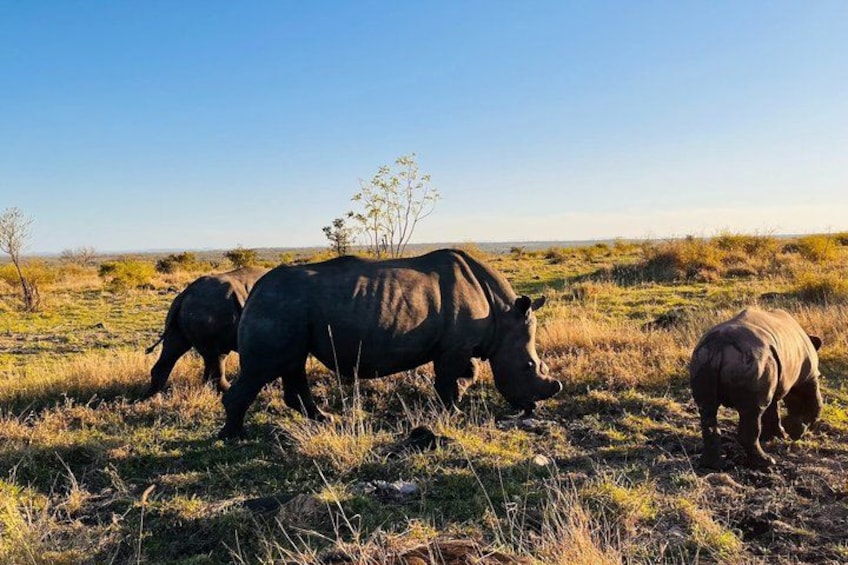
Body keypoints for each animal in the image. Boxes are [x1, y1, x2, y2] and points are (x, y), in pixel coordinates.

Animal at [144, 266, 269, 397]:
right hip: (209, 311)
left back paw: (151, 396)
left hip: (184, 311)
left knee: (174, 348)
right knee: (218, 355)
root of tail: (185, 294)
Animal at [218, 249, 562, 439]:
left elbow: (466, 375)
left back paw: (326, 420)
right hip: (278, 306)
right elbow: (449, 380)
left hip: (286, 309)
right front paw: (454, 413)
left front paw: (457, 402)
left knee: (293, 364)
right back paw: (233, 437)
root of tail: (256, 288)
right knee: (264, 367)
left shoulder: (461, 346)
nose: (532, 407)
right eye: (528, 366)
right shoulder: (454, 348)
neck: (502, 316)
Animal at [690, 308, 823, 469]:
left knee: (707, 409)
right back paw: (766, 462)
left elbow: (773, 410)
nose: (795, 433)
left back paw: (711, 465)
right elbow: (814, 402)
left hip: (702, 358)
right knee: (752, 412)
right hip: (752, 361)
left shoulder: (773, 382)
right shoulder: (809, 377)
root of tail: (719, 346)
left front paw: (780, 435)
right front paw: (794, 431)